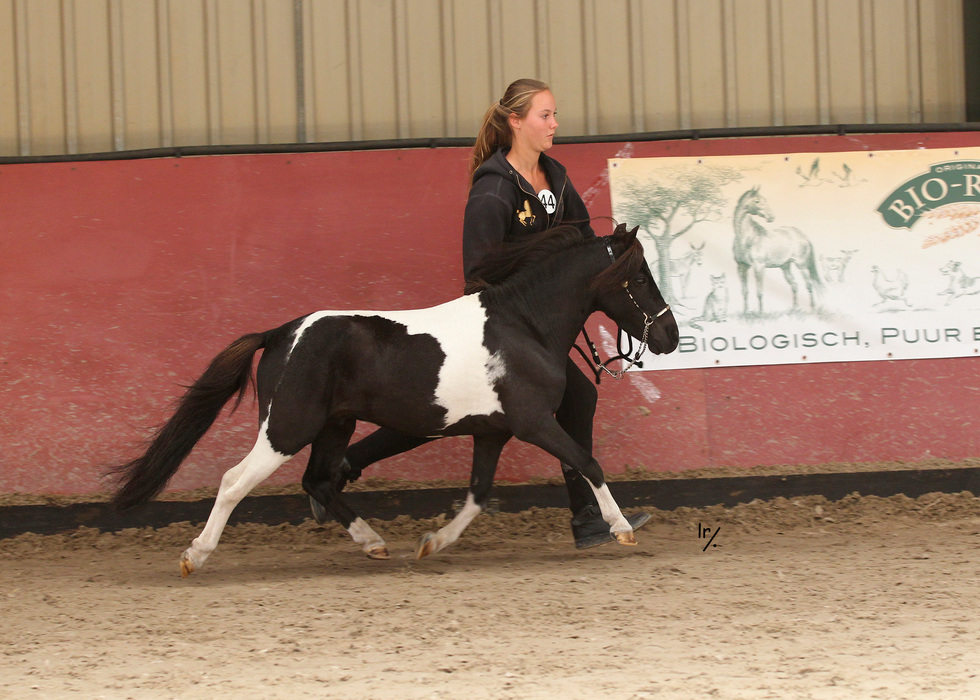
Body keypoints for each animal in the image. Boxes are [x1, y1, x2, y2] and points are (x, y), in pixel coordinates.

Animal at [106, 224, 678, 577]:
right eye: (640, 277)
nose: (670, 336)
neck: (524, 326)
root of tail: (280, 334)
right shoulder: (534, 421)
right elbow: (587, 461)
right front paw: (621, 529)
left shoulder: (492, 430)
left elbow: (478, 494)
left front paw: (432, 543)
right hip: (288, 426)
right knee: (233, 482)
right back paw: (195, 556)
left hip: (334, 425)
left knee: (319, 480)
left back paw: (374, 542)